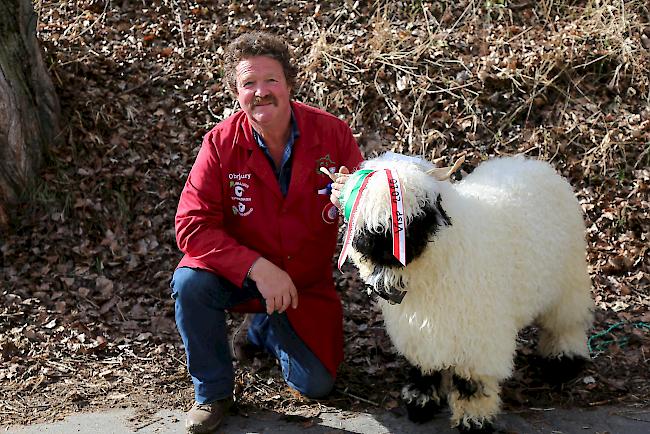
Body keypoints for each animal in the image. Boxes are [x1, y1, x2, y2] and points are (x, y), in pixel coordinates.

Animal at [340, 153, 592, 430]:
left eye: (417, 212)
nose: (379, 248)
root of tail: (533, 163)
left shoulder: (478, 336)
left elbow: (472, 384)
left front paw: (474, 421)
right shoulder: (419, 331)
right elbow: (425, 367)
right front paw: (421, 402)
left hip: (568, 281)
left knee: (566, 322)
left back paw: (564, 360)